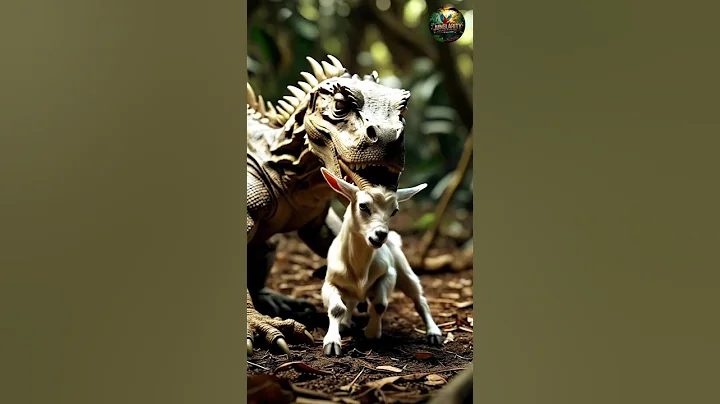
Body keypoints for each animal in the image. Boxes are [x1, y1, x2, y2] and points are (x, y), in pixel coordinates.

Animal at [319, 167, 443, 357]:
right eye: (363, 205)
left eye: (394, 211)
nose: (381, 235)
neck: (360, 267)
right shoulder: (330, 283)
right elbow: (337, 308)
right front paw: (332, 343)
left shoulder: (388, 274)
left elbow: (380, 305)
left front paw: (372, 333)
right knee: (352, 301)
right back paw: (346, 323)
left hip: (405, 272)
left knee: (419, 299)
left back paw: (434, 333)